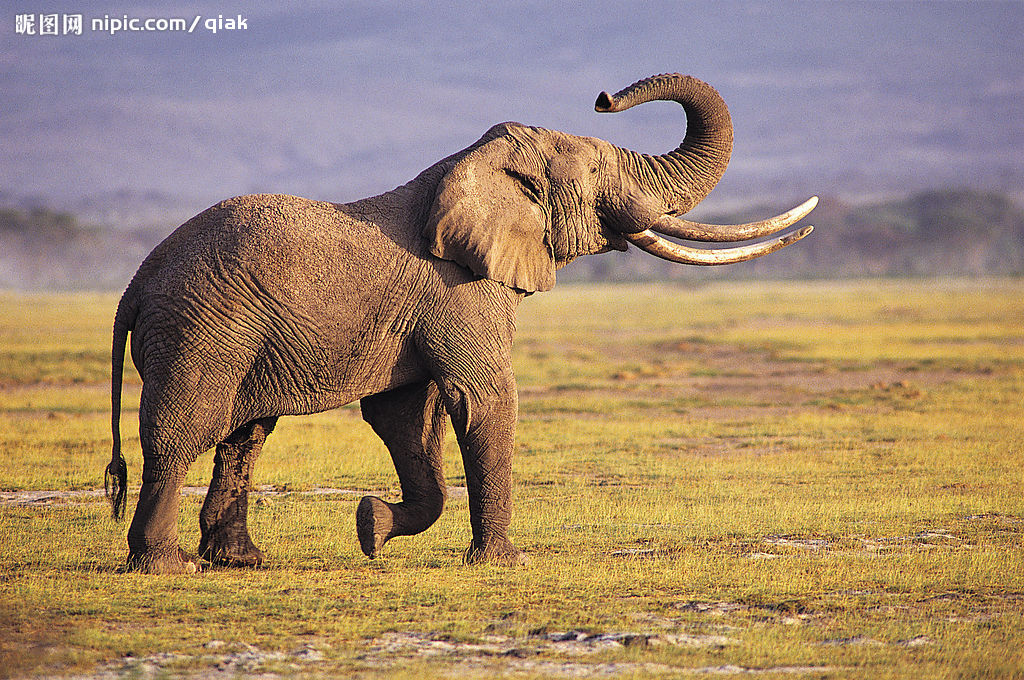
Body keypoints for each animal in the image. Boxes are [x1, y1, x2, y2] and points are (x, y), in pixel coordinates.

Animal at [105, 73, 815, 573]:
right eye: (598, 170)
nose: (604, 97)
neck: (472, 164)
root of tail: (136, 284)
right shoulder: (461, 290)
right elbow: (483, 398)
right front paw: (503, 562)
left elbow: (405, 418)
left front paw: (371, 527)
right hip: (200, 325)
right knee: (183, 428)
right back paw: (166, 566)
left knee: (244, 435)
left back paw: (241, 561)